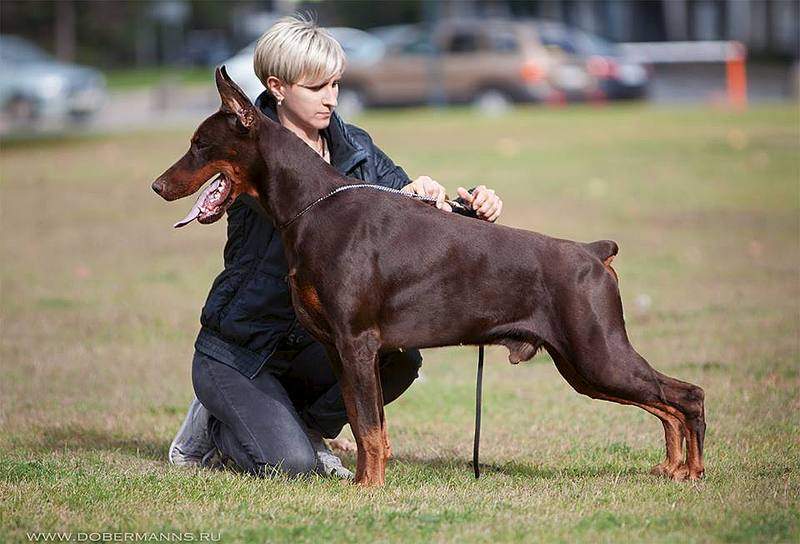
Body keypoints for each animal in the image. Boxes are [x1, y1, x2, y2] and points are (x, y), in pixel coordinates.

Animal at [152, 66, 708, 486]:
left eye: (200, 144)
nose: (157, 185)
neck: (311, 206)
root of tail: (595, 253)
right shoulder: (339, 348)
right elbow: (364, 423)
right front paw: (363, 482)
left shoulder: (358, 342)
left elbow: (369, 427)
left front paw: (370, 489)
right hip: (583, 365)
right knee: (666, 402)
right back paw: (671, 467)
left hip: (596, 353)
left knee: (686, 396)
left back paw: (692, 470)